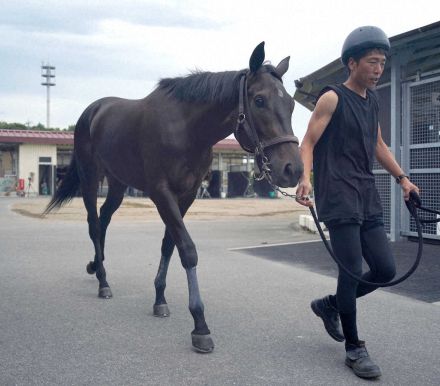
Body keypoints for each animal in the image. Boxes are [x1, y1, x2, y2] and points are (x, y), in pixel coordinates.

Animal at [46, 42, 304, 352]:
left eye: (291, 105)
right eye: (259, 100)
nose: (292, 169)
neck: (186, 129)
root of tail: (92, 111)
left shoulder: (187, 195)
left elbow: (169, 244)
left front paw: (160, 299)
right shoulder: (161, 193)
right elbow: (187, 249)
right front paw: (200, 324)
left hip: (118, 184)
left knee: (105, 218)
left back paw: (96, 266)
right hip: (90, 178)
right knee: (94, 224)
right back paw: (103, 282)